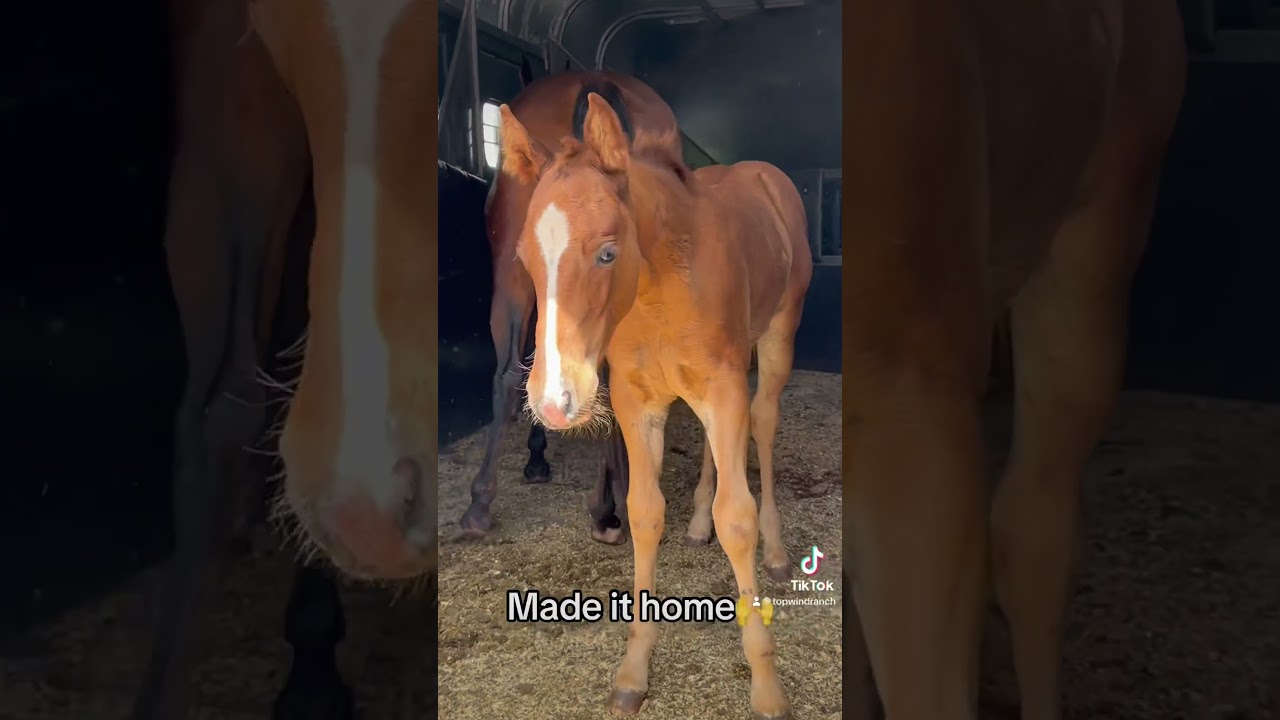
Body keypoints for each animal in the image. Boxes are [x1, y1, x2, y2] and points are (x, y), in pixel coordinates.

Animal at [497, 94, 813, 718]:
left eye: (607, 252)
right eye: (524, 257)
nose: (552, 400)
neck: (658, 291)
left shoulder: (722, 388)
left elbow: (737, 519)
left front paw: (767, 687)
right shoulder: (638, 401)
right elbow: (644, 513)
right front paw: (633, 672)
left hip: (776, 339)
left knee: (763, 424)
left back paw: (777, 551)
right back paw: (696, 522)